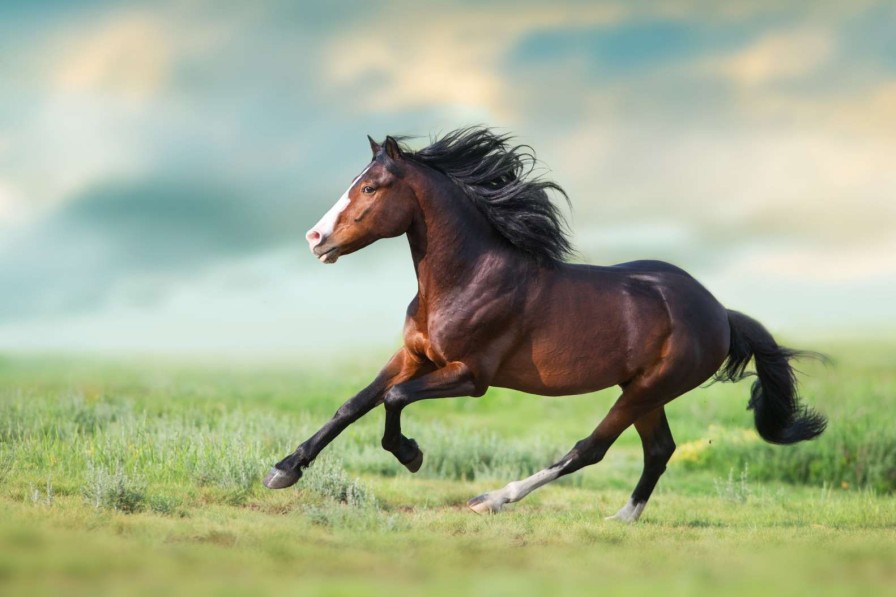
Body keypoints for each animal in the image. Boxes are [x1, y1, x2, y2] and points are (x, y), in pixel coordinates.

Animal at [262, 128, 828, 520]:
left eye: (371, 188)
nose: (315, 239)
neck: (467, 277)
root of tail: (720, 313)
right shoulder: (414, 355)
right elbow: (354, 403)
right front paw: (283, 470)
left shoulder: (471, 377)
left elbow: (394, 400)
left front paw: (411, 455)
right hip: (644, 390)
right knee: (659, 450)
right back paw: (623, 518)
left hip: (647, 389)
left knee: (591, 449)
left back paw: (493, 499)